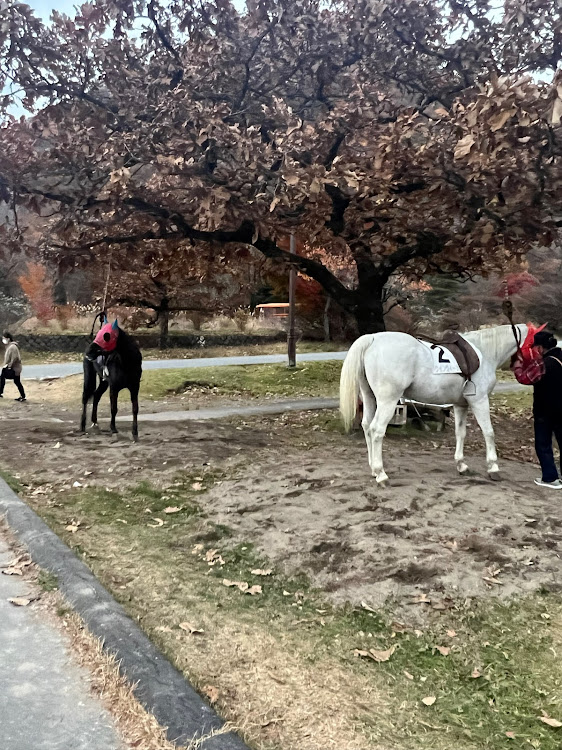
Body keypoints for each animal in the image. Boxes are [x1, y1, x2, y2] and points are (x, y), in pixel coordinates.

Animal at [340, 326, 528, 484]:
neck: (484, 351)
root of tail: (372, 338)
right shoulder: (480, 401)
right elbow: (489, 432)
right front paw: (493, 468)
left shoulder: (460, 405)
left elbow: (460, 433)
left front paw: (461, 465)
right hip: (388, 400)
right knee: (377, 430)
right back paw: (381, 473)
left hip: (369, 397)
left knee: (366, 425)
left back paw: (373, 469)